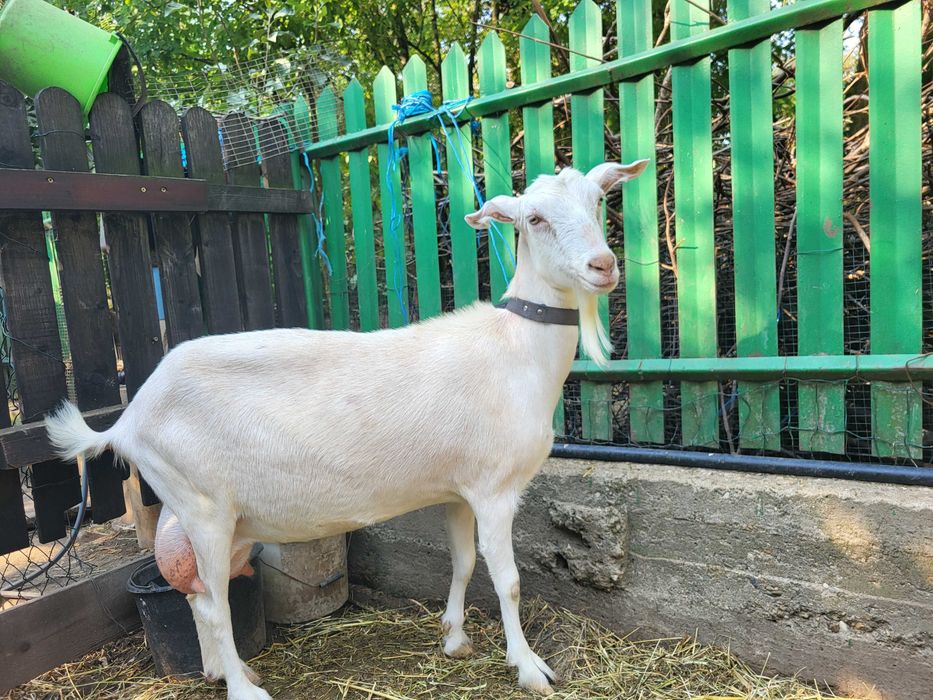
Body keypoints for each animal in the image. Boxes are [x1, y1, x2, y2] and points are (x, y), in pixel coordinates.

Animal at [45, 159, 648, 699]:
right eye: (535, 219)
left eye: (599, 199)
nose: (602, 265)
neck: (515, 350)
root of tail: (126, 420)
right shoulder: (494, 488)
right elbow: (510, 582)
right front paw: (529, 669)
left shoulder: (457, 490)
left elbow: (462, 563)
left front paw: (454, 639)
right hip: (202, 507)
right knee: (216, 605)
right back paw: (245, 689)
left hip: (217, 518)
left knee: (196, 593)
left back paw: (222, 671)